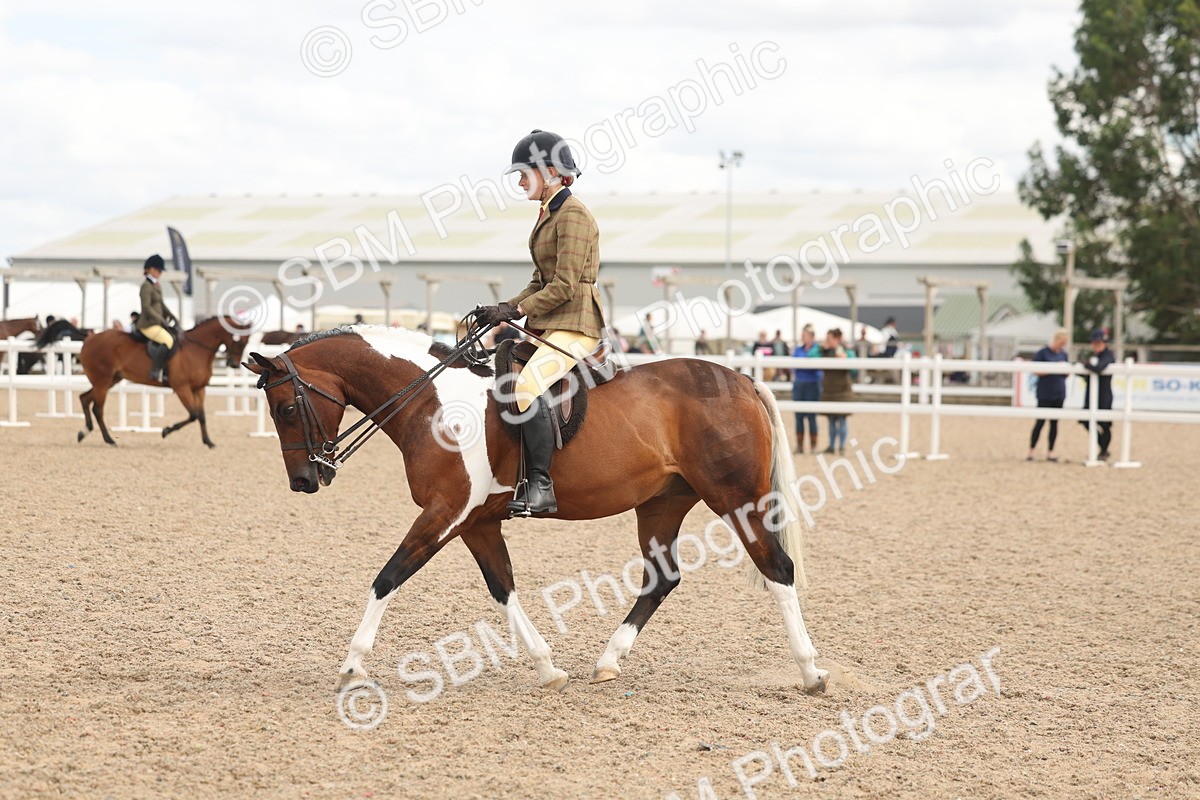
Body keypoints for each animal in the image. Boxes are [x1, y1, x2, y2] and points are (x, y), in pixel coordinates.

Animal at [77, 316, 253, 448]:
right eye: (240, 342)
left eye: (246, 342)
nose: (234, 364)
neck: (196, 350)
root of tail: (90, 339)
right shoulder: (182, 388)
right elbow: (193, 415)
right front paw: (166, 431)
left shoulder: (199, 389)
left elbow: (201, 416)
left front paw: (209, 442)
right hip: (102, 381)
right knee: (98, 409)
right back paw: (109, 440)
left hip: (110, 380)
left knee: (84, 398)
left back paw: (83, 432)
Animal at [244, 324, 829, 696]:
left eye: (287, 407)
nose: (304, 481)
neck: (433, 402)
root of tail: (743, 379)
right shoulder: (475, 522)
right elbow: (503, 589)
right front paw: (548, 668)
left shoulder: (444, 513)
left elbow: (387, 577)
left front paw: (351, 665)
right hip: (661, 505)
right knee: (662, 579)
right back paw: (607, 662)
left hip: (735, 498)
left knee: (777, 567)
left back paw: (810, 672)